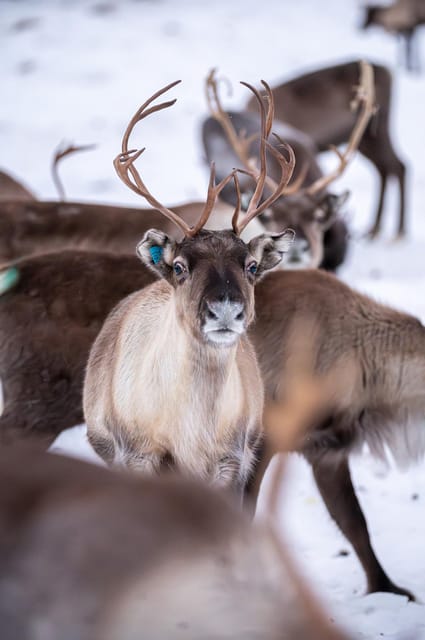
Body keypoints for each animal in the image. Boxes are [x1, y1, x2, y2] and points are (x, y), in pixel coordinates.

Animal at [83, 79, 295, 494]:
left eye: (251, 265)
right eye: (180, 266)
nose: (225, 309)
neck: (194, 432)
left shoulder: (231, 461)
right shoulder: (139, 455)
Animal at [246, 60, 407, 239]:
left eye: (317, 218)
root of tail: (388, 71)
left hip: (377, 131)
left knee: (397, 165)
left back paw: (398, 231)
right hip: (366, 140)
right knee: (386, 168)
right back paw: (375, 229)